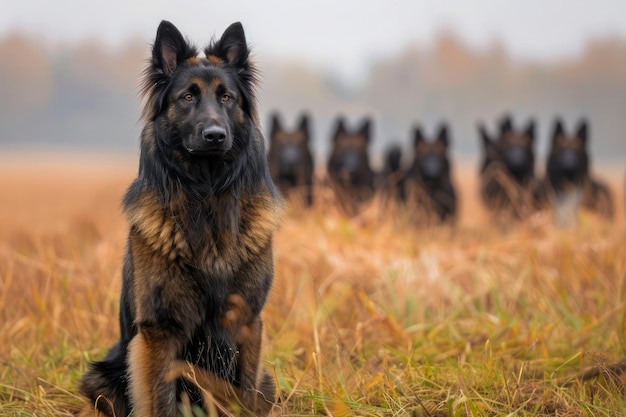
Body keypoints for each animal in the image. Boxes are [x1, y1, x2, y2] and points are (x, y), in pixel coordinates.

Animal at [79, 20, 282, 416]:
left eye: (226, 98)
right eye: (187, 98)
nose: (215, 135)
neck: (207, 198)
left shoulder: (247, 322)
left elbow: (244, 395)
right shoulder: (161, 331)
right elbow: (161, 401)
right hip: (101, 376)